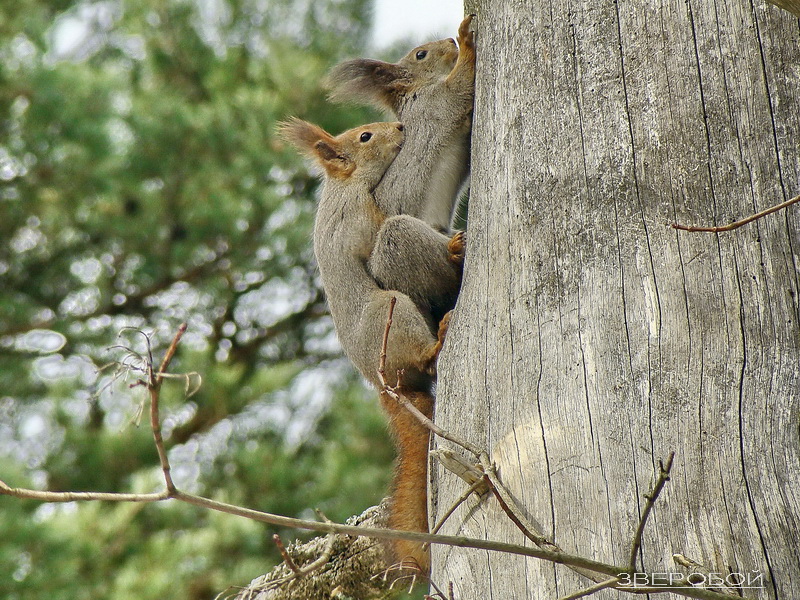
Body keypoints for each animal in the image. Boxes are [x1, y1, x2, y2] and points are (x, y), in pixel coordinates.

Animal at [280, 116, 462, 572]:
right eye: (364, 136)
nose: (399, 126)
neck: (343, 187)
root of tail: (384, 386)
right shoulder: (357, 221)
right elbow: (379, 231)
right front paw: (453, 244)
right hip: (391, 314)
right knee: (424, 359)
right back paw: (437, 342)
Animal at [326, 14, 476, 234]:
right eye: (420, 54)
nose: (450, 40)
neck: (418, 89)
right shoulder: (438, 100)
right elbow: (461, 83)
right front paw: (465, 38)